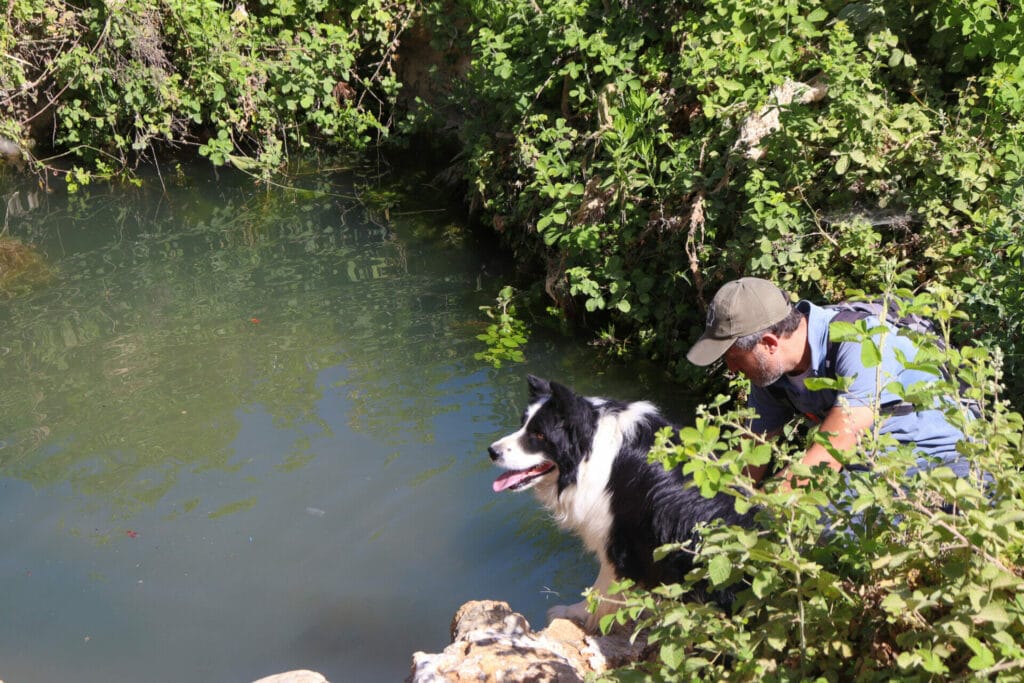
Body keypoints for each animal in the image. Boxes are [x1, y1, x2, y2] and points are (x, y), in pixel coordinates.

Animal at [487, 376, 753, 626]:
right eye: (522, 425)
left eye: (539, 434)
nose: (492, 451)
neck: (590, 452)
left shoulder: (617, 542)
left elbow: (600, 590)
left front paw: (573, 613)